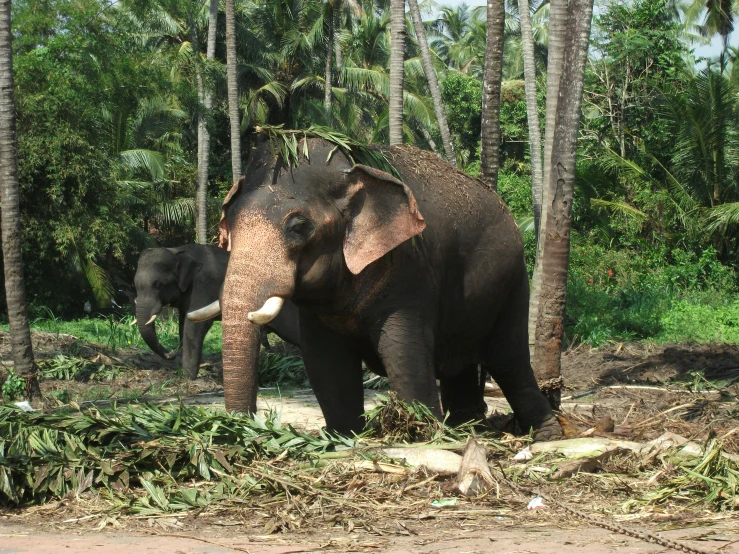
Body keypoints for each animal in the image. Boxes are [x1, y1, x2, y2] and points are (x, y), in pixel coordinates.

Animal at [134, 244, 300, 378]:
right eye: (134, 285)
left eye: (158, 285)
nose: (172, 353)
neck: (177, 250)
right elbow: (183, 324)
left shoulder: (204, 286)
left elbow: (195, 326)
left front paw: (188, 378)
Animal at [189, 139, 560, 440]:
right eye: (229, 223)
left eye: (298, 226)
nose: (246, 426)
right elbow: (325, 362)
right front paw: (344, 436)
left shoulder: (409, 271)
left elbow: (404, 351)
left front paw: (422, 435)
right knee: (462, 366)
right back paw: (468, 429)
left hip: (513, 282)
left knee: (508, 360)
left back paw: (546, 435)